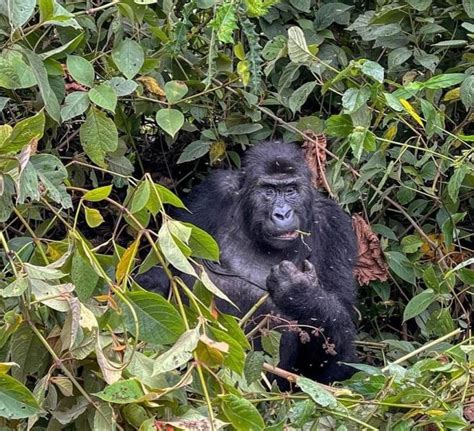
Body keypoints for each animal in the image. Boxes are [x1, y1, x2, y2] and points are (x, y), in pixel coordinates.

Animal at [135, 141, 358, 384]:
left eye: (290, 190)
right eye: (268, 191)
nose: (282, 214)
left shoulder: (335, 226)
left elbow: (335, 364)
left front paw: (300, 293)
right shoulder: (212, 191)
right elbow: (164, 268)